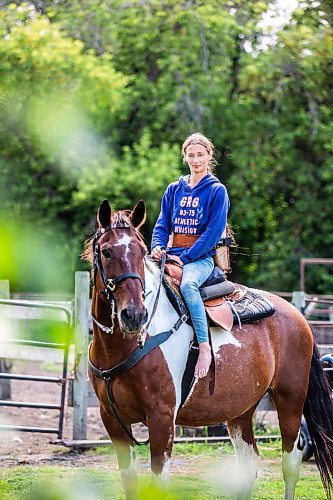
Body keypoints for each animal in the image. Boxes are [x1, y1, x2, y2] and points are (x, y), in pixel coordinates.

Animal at [83, 199, 333, 500]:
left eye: (141, 253)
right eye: (106, 251)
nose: (134, 315)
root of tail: (299, 316)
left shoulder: (162, 419)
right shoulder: (112, 420)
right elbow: (129, 482)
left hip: (290, 400)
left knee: (290, 463)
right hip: (240, 412)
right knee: (248, 466)